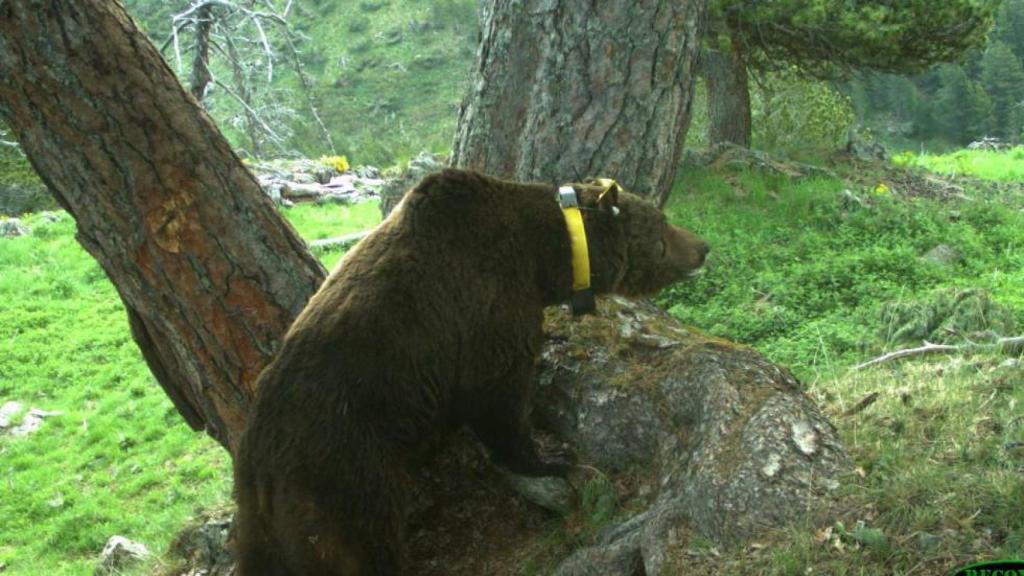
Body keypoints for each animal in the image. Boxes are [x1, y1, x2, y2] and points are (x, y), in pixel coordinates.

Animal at [232, 168, 709, 575]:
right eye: (663, 222)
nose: (703, 246)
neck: (546, 255)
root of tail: (257, 464)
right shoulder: (488, 305)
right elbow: (497, 396)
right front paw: (552, 457)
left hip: (263, 525)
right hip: (344, 477)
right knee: (366, 546)